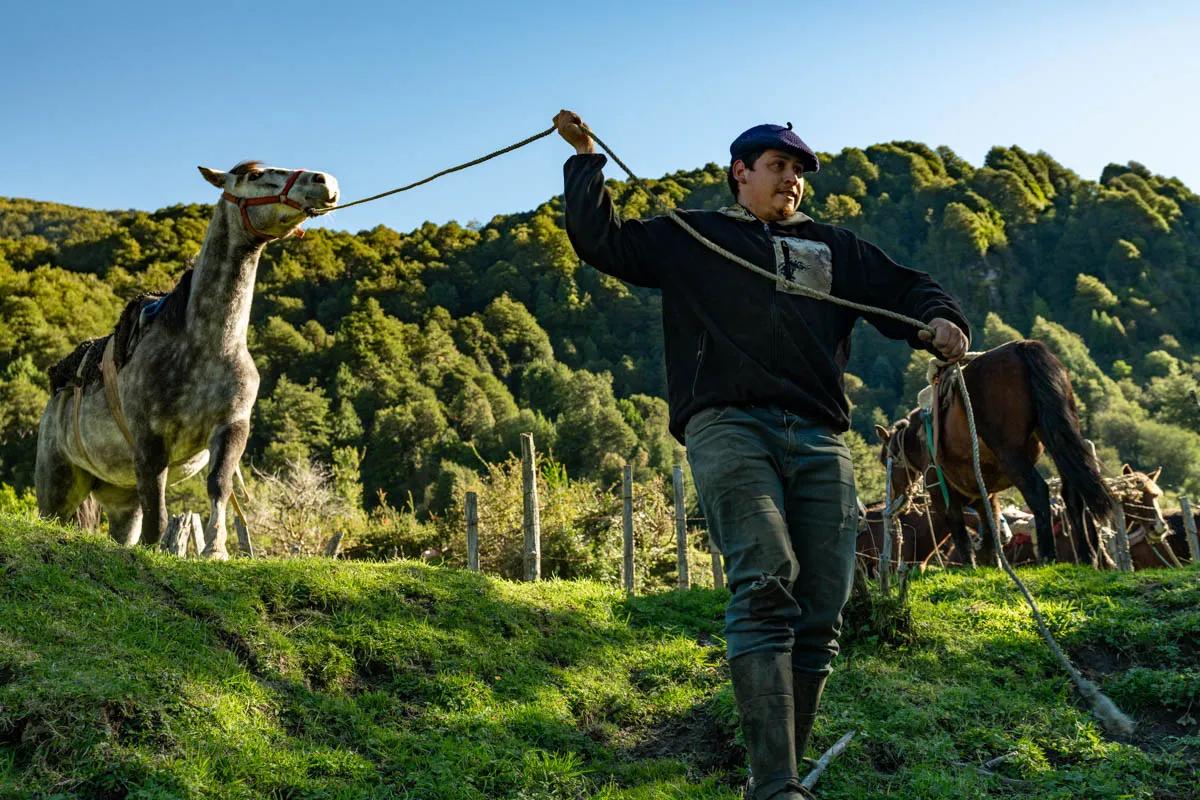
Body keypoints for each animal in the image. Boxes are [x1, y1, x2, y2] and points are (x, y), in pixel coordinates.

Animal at [878, 340, 1108, 566]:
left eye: (886, 460)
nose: (895, 500)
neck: (921, 439)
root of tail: (1022, 347)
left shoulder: (943, 498)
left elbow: (962, 537)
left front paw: (970, 566)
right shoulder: (986, 497)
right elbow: (989, 535)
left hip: (1010, 453)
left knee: (1037, 491)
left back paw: (1047, 556)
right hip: (1057, 440)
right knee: (1072, 492)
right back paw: (1087, 557)